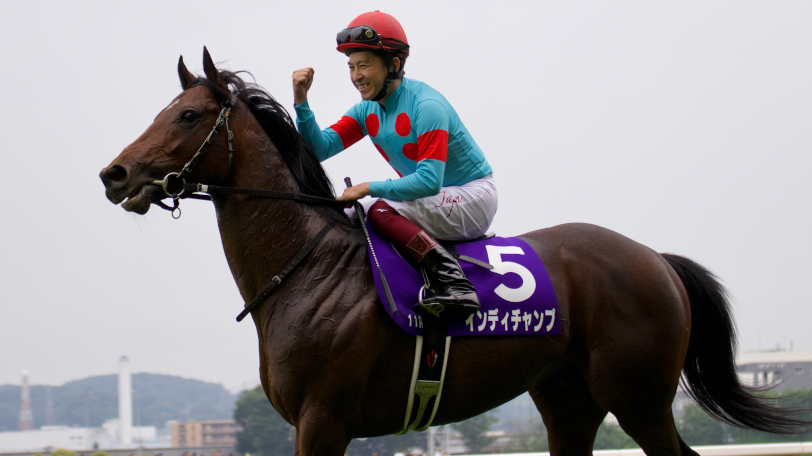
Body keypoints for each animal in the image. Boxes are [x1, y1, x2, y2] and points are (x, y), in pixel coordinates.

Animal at [100, 48, 806, 456]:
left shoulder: (323, 418)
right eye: (166, 109)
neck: (307, 270)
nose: (114, 174)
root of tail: (656, 259)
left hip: (638, 397)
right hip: (568, 400)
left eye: (188, 116)